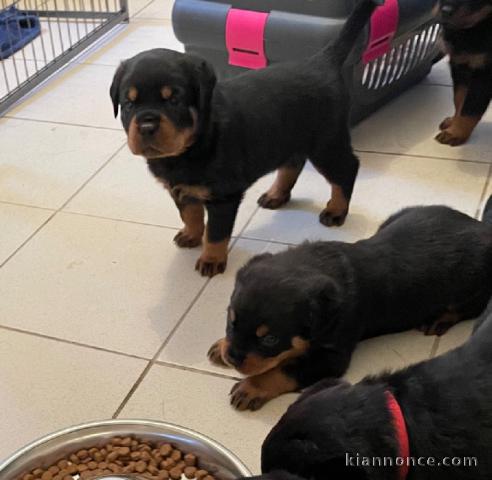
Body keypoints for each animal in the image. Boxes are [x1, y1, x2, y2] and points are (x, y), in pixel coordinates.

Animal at [109, 0, 382, 278]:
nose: (147, 125)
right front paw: (191, 234)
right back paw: (276, 194)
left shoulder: (223, 196)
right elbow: (190, 214)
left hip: (326, 142)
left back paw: (336, 210)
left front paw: (211, 259)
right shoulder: (180, 190)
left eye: (174, 100)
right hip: (289, 137)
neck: (188, 149)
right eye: (128, 104)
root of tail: (322, 61)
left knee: (347, 169)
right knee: (293, 163)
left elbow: (216, 233)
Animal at [208, 197, 492, 410]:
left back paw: (439, 319)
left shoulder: (332, 357)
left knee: (469, 307)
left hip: (473, 284)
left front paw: (251, 387)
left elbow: (284, 370)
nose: (232, 357)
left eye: (270, 339)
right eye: (231, 322)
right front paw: (220, 346)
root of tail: (482, 227)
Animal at [436, 0, 490, 146]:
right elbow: (459, 99)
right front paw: (453, 122)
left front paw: (456, 133)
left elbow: (470, 107)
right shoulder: (460, 67)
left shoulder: (484, 74)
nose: (445, 11)